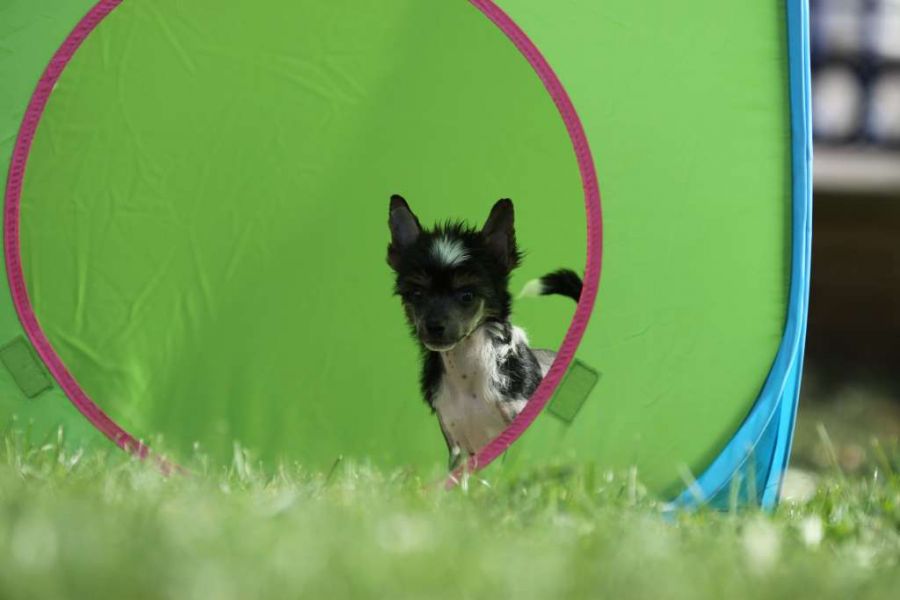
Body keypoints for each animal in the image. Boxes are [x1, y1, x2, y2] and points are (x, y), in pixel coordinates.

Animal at [386, 194, 581, 469]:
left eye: (467, 296)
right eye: (416, 295)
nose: (433, 327)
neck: (466, 368)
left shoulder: (513, 425)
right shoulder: (456, 445)